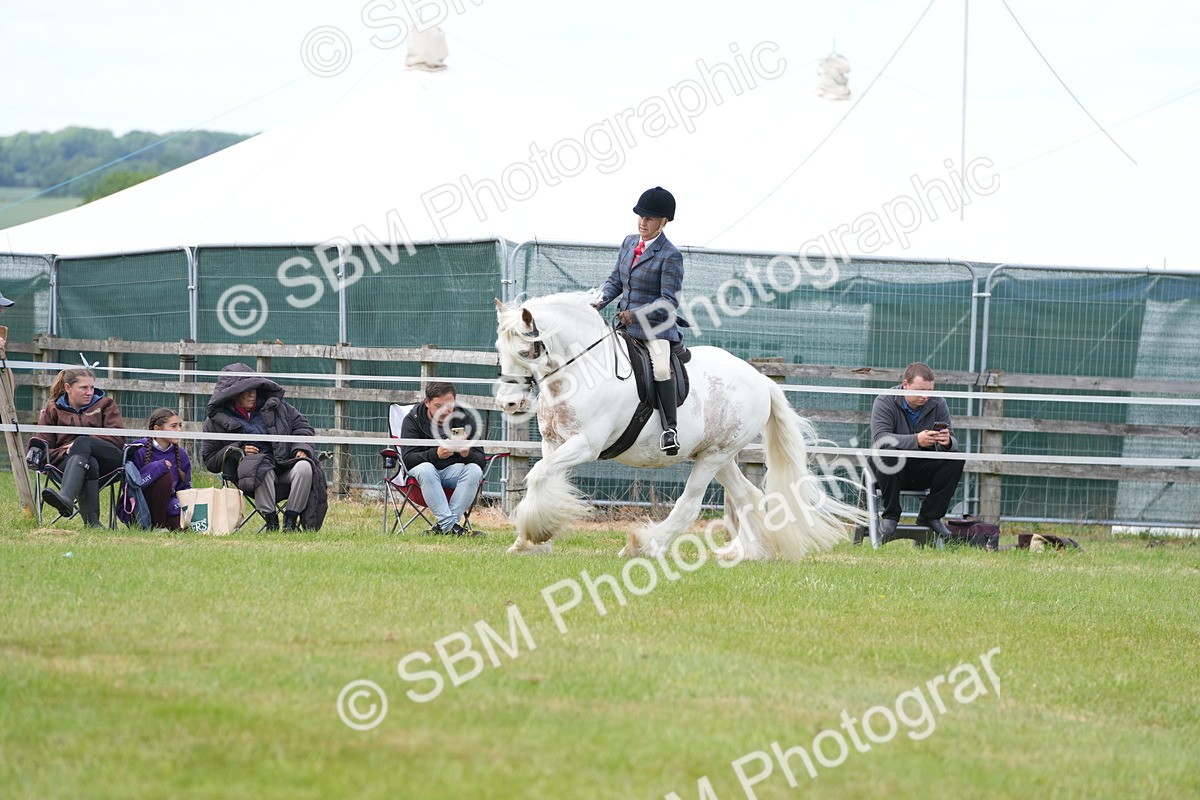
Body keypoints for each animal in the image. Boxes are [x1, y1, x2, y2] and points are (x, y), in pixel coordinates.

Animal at [494, 291, 869, 560]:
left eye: (527, 351)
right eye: (500, 349)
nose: (508, 404)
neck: (583, 369)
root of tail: (761, 380)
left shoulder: (586, 444)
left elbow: (538, 475)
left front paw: (535, 534)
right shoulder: (554, 442)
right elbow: (545, 478)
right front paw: (532, 540)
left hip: (713, 458)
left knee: (690, 505)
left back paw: (644, 544)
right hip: (719, 456)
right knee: (747, 495)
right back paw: (748, 553)